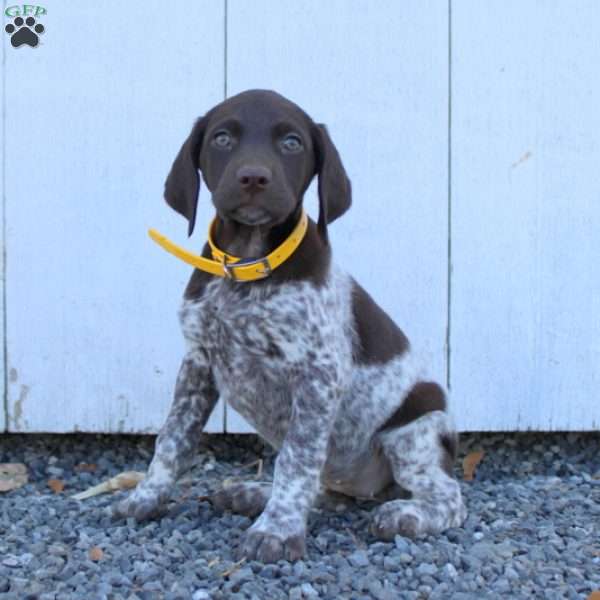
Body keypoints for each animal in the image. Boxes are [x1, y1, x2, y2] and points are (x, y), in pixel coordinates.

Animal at [113, 89, 468, 564]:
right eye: (222, 138)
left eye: (292, 143)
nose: (253, 177)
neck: (247, 265)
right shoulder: (198, 362)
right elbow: (172, 440)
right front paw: (146, 498)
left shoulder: (317, 376)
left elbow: (297, 460)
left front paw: (277, 532)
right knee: (323, 488)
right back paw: (252, 493)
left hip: (415, 428)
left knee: (448, 496)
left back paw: (405, 514)